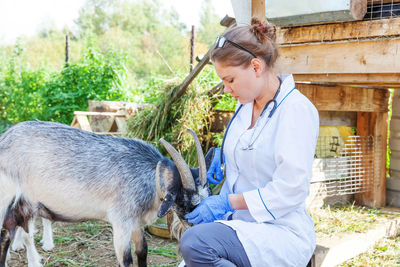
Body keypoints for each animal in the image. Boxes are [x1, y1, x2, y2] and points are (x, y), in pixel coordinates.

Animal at [0, 122, 212, 267]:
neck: (149, 178)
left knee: (11, 232)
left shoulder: (136, 223)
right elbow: (126, 260)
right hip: (7, 197)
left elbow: (142, 252)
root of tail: (5, 137)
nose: (200, 231)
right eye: (187, 201)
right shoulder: (121, 223)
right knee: (6, 235)